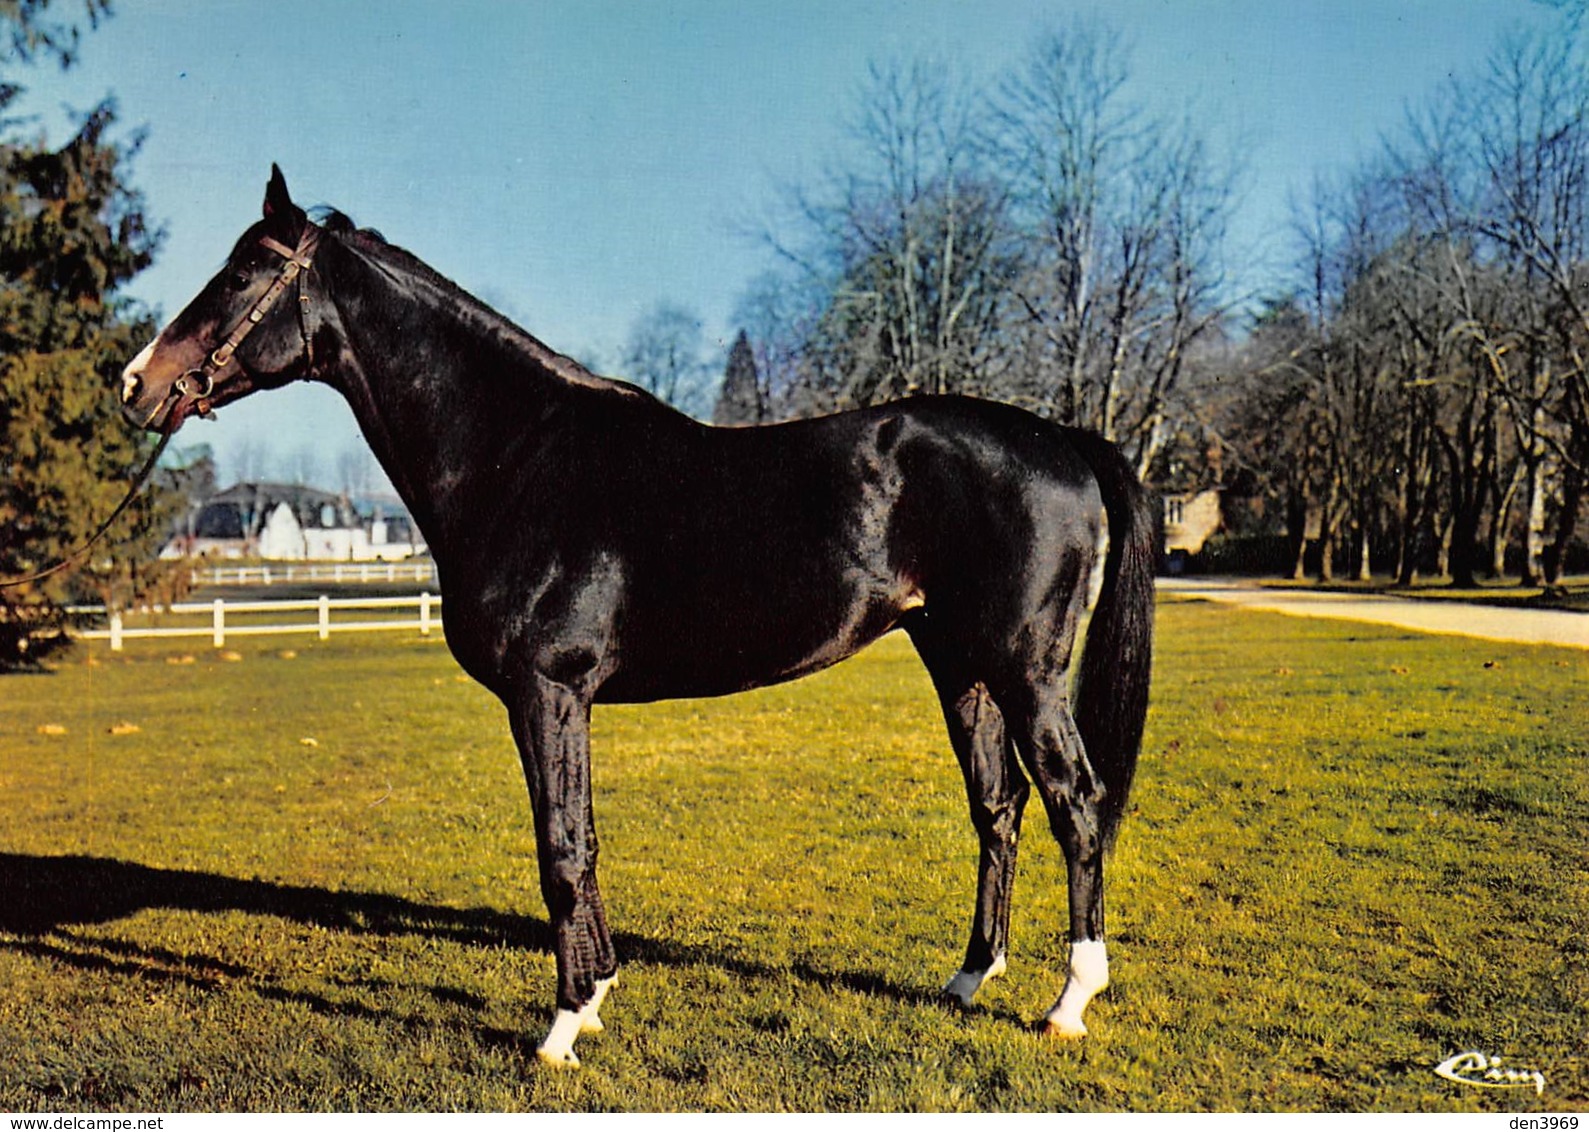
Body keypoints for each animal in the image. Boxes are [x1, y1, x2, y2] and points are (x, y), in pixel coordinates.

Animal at [117, 167, 1150, 1068]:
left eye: (242, 273)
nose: (137, 383)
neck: (514, 455)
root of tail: (1063, 440)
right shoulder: (561, 699)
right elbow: (581, 839)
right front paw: (598, 996)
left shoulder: (548, 690)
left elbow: (562, 848)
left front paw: (562, 1028)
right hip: (960, 664)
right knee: (998, 807)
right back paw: (969, 979)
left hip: (1025, 671)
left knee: (1076, 804)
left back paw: (1068, 1003)